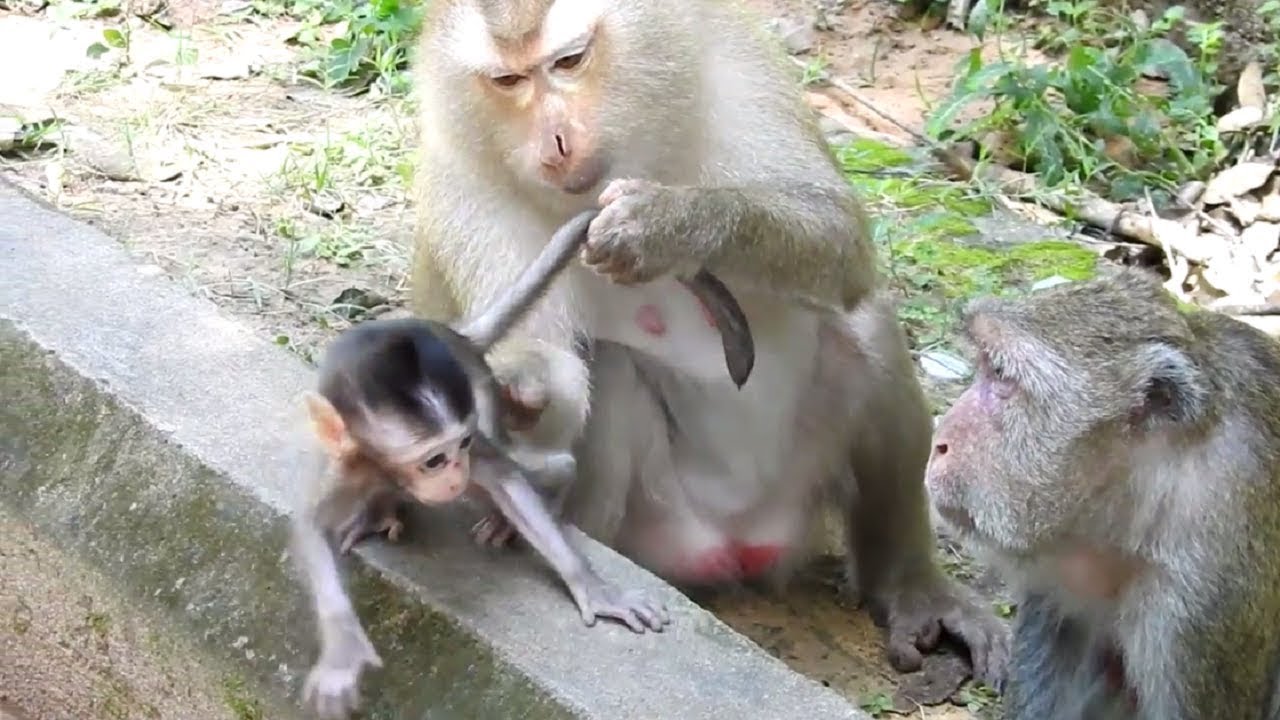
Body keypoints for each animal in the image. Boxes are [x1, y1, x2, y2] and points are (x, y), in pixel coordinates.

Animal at [408, 0, 1011, 687]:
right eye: (508, 82)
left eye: (570, 60)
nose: (555, 141)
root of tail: (740, 539)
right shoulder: (463, 188)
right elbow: (543, 356)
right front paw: (513, 388)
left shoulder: (730, 61)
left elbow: (840, 239)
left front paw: (669, 224)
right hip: (661, 524)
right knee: (607, 372)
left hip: (800, 487)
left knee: (865, 328)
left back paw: (908, 583)